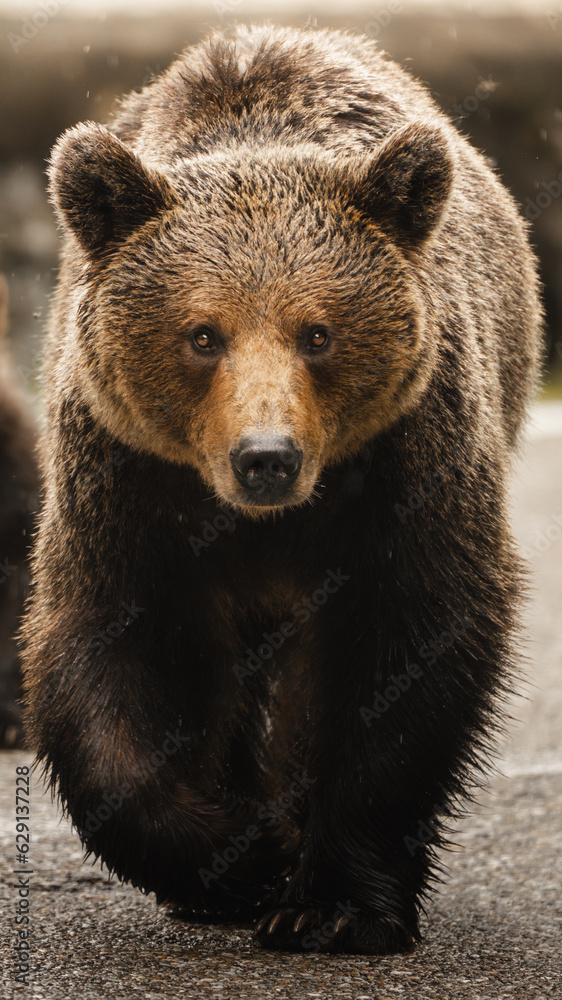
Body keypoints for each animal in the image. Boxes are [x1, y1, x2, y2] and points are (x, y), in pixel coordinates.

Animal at [22, 24, 543, 954]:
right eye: (203, 334)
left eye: (318, 333)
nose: (267, 457)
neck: (259, 521)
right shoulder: (128, 484)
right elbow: (108, 666)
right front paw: (242, 856)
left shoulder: (405, 467)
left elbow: (407, 649)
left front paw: (331, 902)